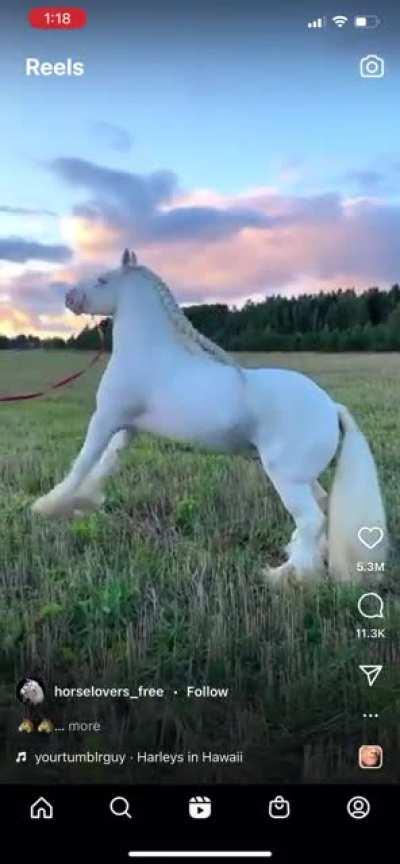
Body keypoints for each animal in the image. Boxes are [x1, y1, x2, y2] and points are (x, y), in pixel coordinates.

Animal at [32, 249, 387, 583]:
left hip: (287, 478)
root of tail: (332, 407)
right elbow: (106, 462)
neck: (150, 354)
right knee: (322, 509)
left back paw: (283, 577)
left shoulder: (106, 417)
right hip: (303, 476)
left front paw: (48, 506)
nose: (69, 297)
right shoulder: (127, 427)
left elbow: (83, 462)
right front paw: (83, 502)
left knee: (312, 520)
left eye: (103, 279)